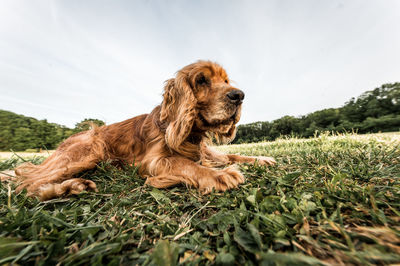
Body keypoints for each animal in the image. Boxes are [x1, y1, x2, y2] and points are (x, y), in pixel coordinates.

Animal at [11, 60, 276, 201]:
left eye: (226, 81)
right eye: (201, 80)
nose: (239, 96)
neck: (191, 133)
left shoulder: (206, 151)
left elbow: (232, 154)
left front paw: (261, 158)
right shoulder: (152, 161)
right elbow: (185, 164)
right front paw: (219, 175)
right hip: (90, 149)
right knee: (27, 184)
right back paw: (70, 186)